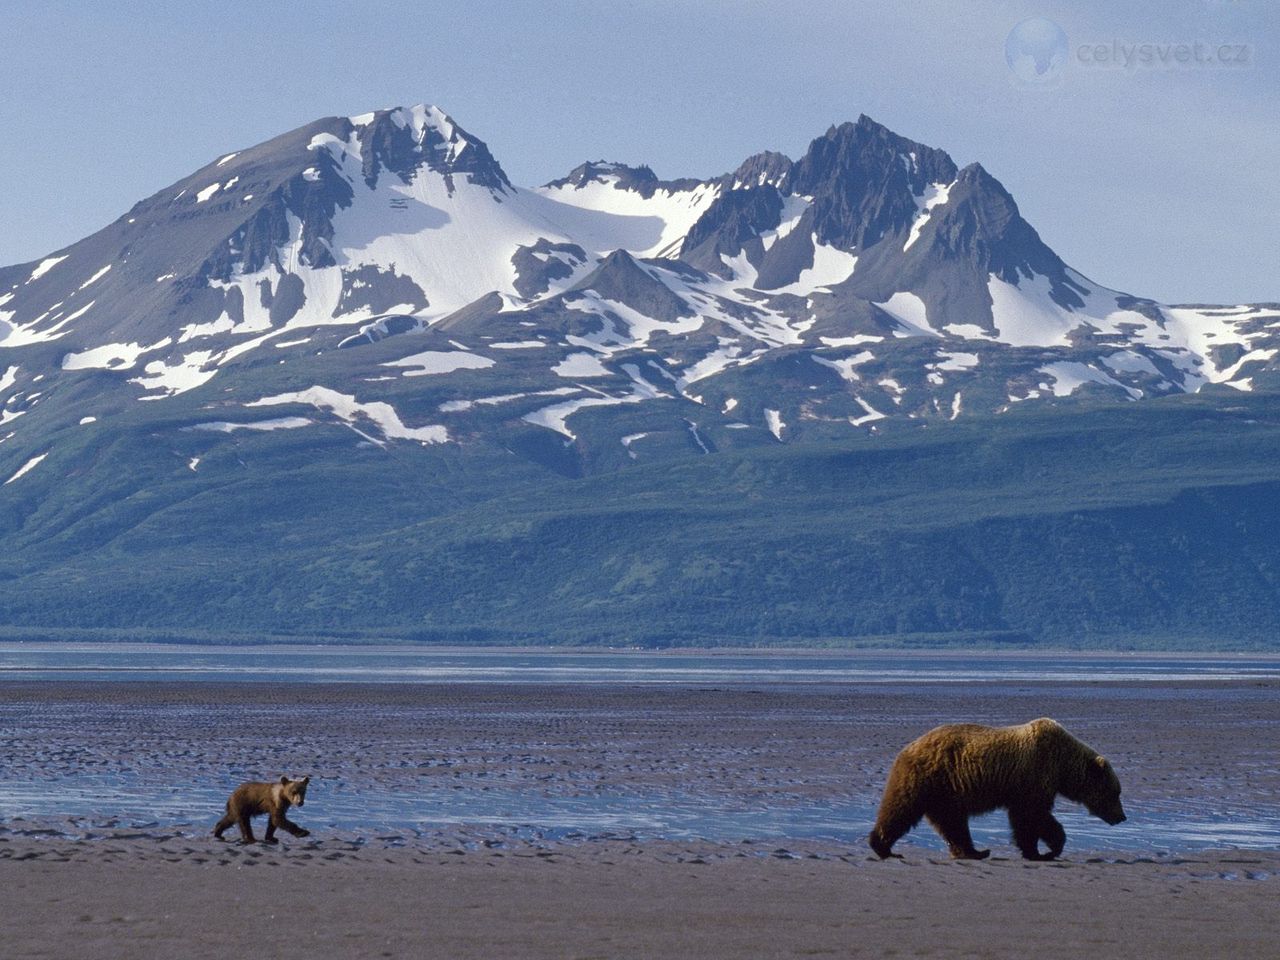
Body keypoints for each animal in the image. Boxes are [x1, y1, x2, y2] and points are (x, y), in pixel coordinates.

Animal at [870, 716, 1121, 860]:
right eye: (1115, 792)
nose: (1122, 817)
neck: (1062, 765)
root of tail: (909, 747)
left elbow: (1027, 817)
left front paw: (1038, 850)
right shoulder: (1034, 775)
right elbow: (1032, 815)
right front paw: (1046, 850)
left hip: (944, 792)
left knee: (952, 822)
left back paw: (974, 852)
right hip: (927, 778)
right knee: (901, 808)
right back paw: (882, 846)